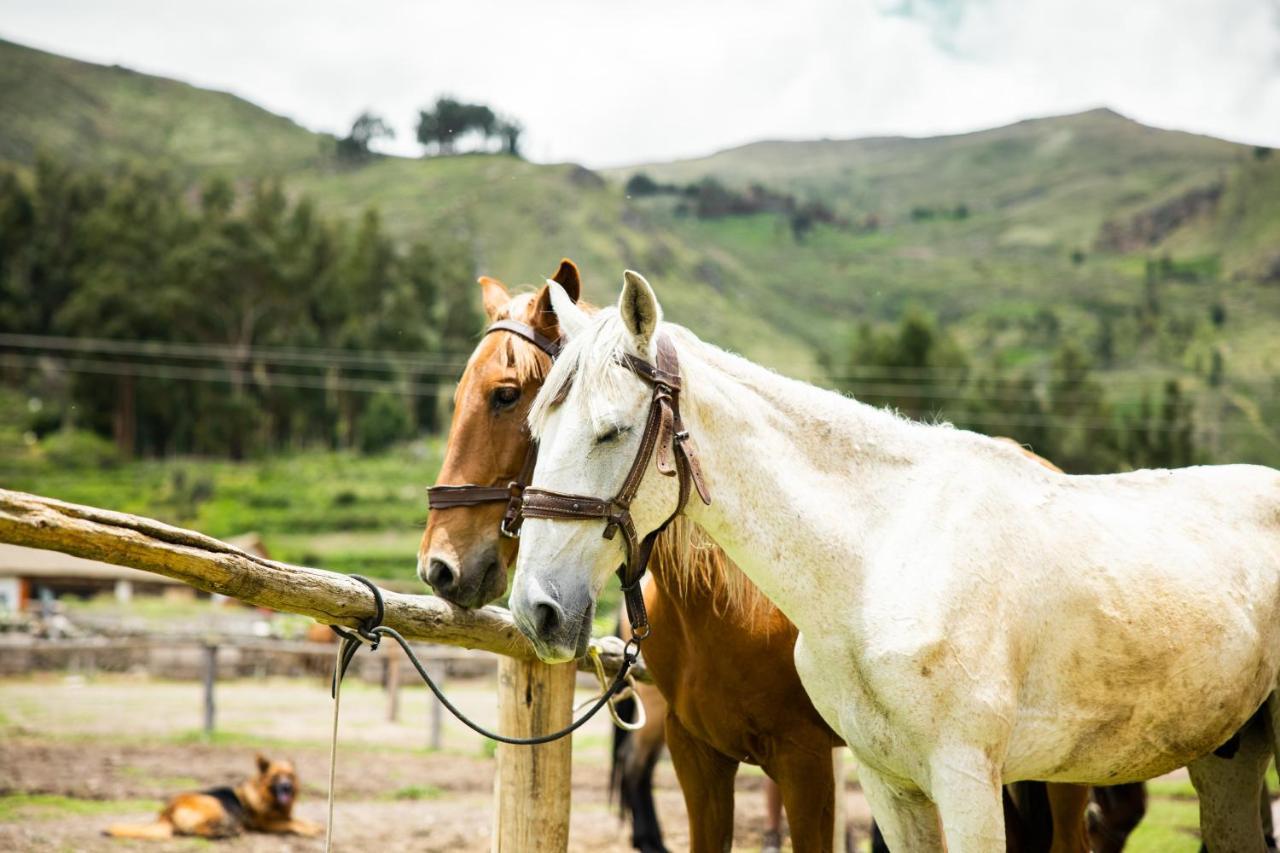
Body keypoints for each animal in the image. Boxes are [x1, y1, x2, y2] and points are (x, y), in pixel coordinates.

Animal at [106, 753, 325, 835]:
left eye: (290, 775)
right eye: (276, 776)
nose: (287, 787)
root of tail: (166, 810)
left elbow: (300, 820)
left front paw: (315, 826)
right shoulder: (266, 824)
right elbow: (293, 824)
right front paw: (310, 830)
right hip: (214, 804)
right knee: (196, 830)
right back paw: (226, 832)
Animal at [514, 268, 1280, 845]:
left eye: (611, 431)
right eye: (536, 429)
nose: (536, 610)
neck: (880, 559)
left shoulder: (966, 785)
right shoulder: (889, 785)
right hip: (1228, 760)